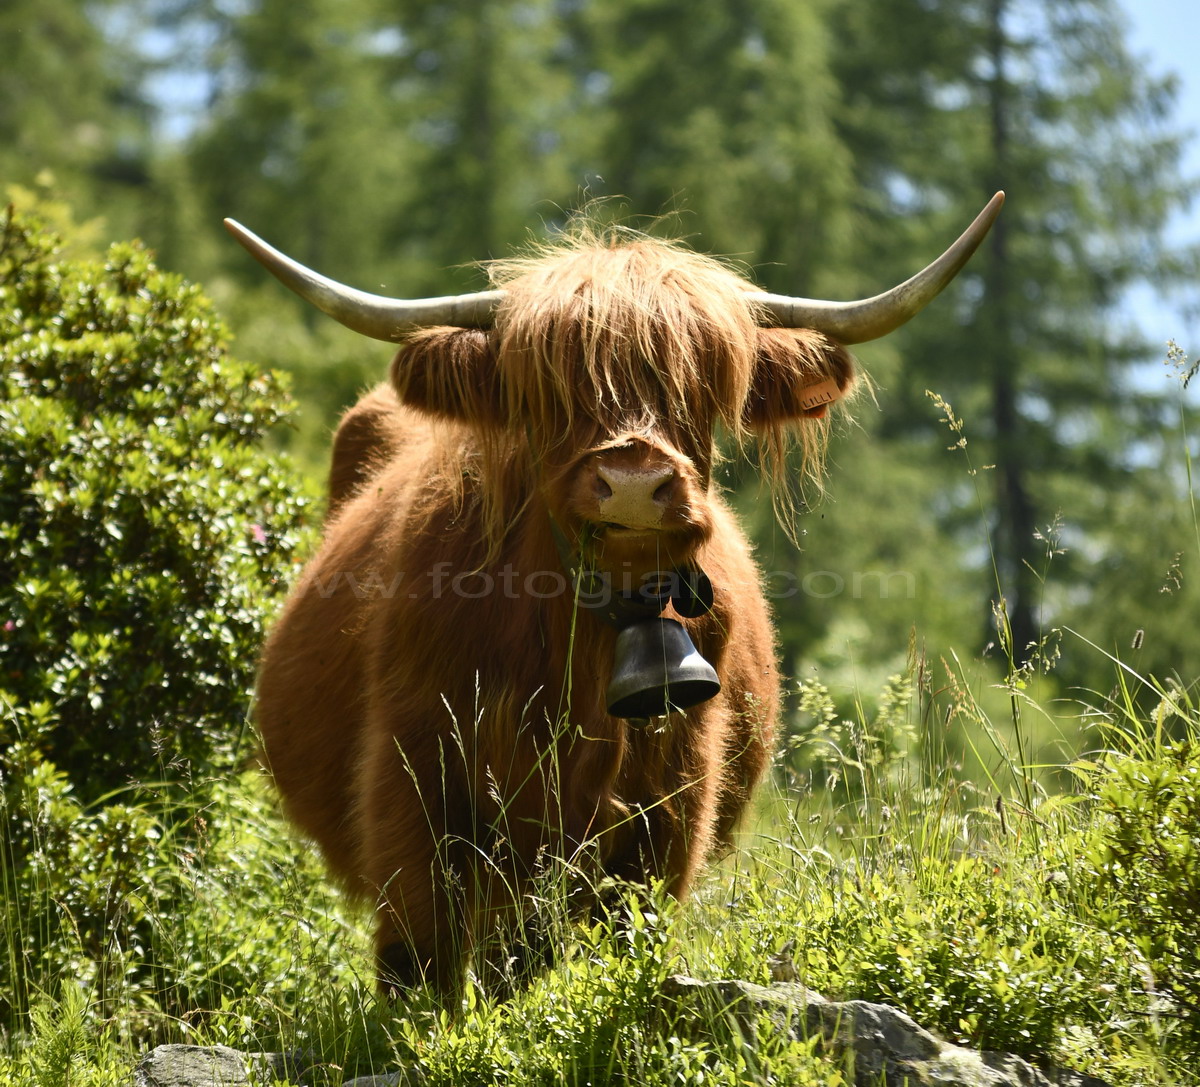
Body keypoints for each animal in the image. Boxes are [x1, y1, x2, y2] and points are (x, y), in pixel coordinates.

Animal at [227, 194, 1003, 998]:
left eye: (701, 386)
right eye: (550, 391)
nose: (634, 481)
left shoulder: (674, 795)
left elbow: (619, 939)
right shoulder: (412, 770)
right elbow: (422, 955)